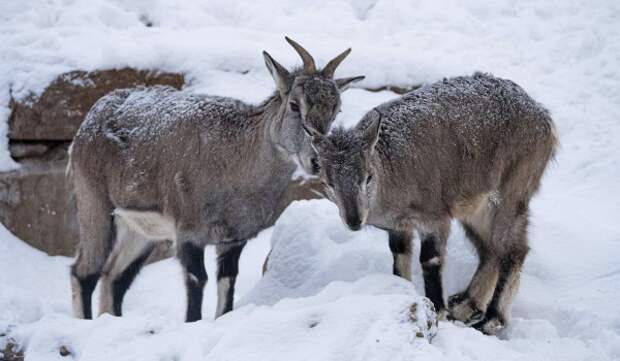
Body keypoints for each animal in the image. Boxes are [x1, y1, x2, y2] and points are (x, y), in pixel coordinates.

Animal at [68, 38, 364, 320]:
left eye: (335, 110)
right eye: (294, 105)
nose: (316, 161)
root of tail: (91, 119)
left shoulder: (233, 239)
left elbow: (226, 286)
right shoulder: (189, 232)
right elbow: (197, 282)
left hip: (140, 229)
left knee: (115, 277)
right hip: (94, 204)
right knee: (84, 272)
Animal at [308, 73, 556, 334]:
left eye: (368, 176)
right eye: (328, 181)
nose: (354, 220)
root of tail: (543, 117)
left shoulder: (435, 217)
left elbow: (430, 260)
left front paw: (438, 310)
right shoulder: (399, 227)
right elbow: (399, 258)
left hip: (513, 189)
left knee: (513, 249)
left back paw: (490, 319)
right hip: (476, 206)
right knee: (490, 250)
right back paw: (466, 304)